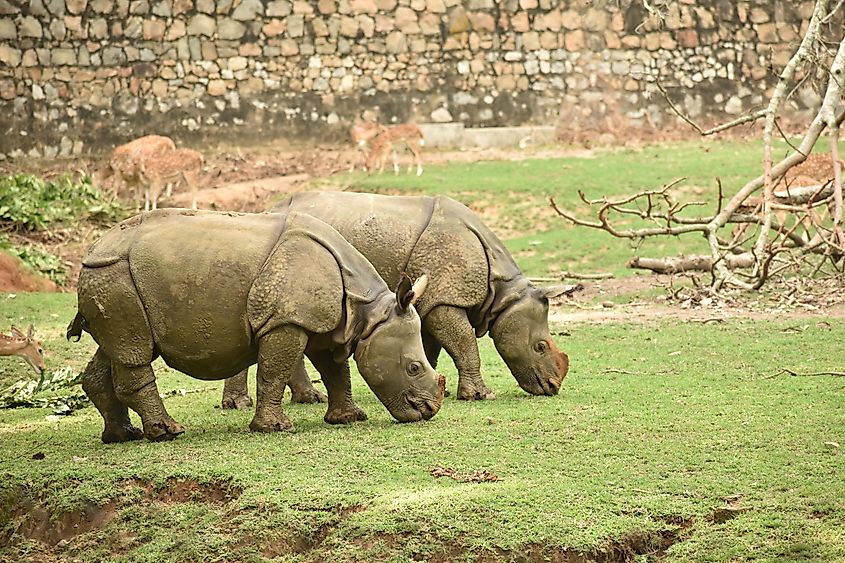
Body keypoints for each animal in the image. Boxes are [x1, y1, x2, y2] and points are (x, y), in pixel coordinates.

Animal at [67, 209, 445, 443]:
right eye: (412, 368)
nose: (429, 411)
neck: (367, 312)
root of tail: (91, 251)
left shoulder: (328, 325)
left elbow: (337, 371)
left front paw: (348, 418)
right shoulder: (286, 321)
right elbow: (273, 371)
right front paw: (275, 428)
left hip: (111, 280)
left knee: (116, 348)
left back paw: (122, 436)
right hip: (115, 275)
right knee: (134, 351)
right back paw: (168, 432)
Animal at [224, 192, 569, 408]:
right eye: (540, 346)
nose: (552, 388)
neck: (504, 291)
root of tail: (265, 209)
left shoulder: (429, 300)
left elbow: (432, 348)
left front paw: (432, 386)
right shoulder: (444, 299)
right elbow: (465, 344)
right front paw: (480, 395)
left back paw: (309, 399)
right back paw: (240, 405)